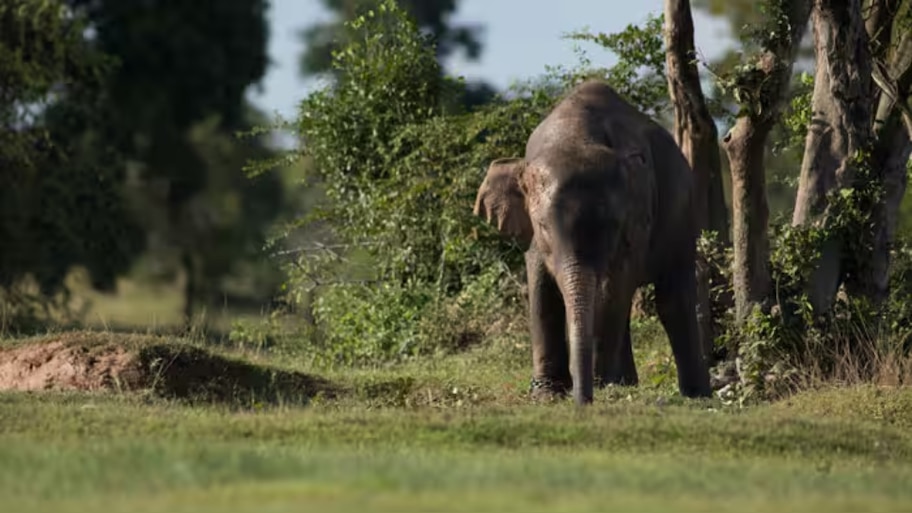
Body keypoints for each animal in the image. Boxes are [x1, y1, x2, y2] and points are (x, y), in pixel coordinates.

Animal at [473, 79, 712, 405]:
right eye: (543, 226)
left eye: (613, 227)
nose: (582, 401)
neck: (575, 134)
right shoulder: (533, 238)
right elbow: (541, 287)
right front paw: (546, 393)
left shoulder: (636, 225)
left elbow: (615, 286)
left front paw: (601, 385)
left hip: (683, 216)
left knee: (673, 298)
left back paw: (695, 396)